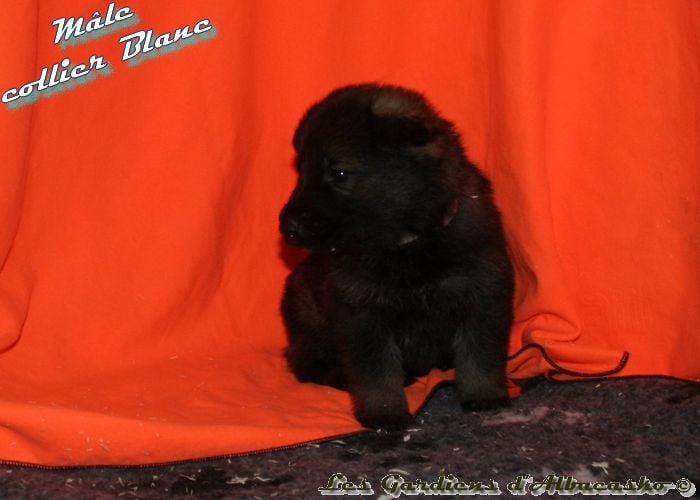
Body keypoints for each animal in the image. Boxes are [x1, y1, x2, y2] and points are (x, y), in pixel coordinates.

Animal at [279, 84, 514, 430]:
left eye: (340, 173)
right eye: (302, 171)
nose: (287, 226)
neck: (407, 242)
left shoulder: (481, 293)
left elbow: (479, 352)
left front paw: (484, 394)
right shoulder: (361, 312)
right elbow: (376, 370)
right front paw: (384, 411)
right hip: (307, 313)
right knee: (305, 361)